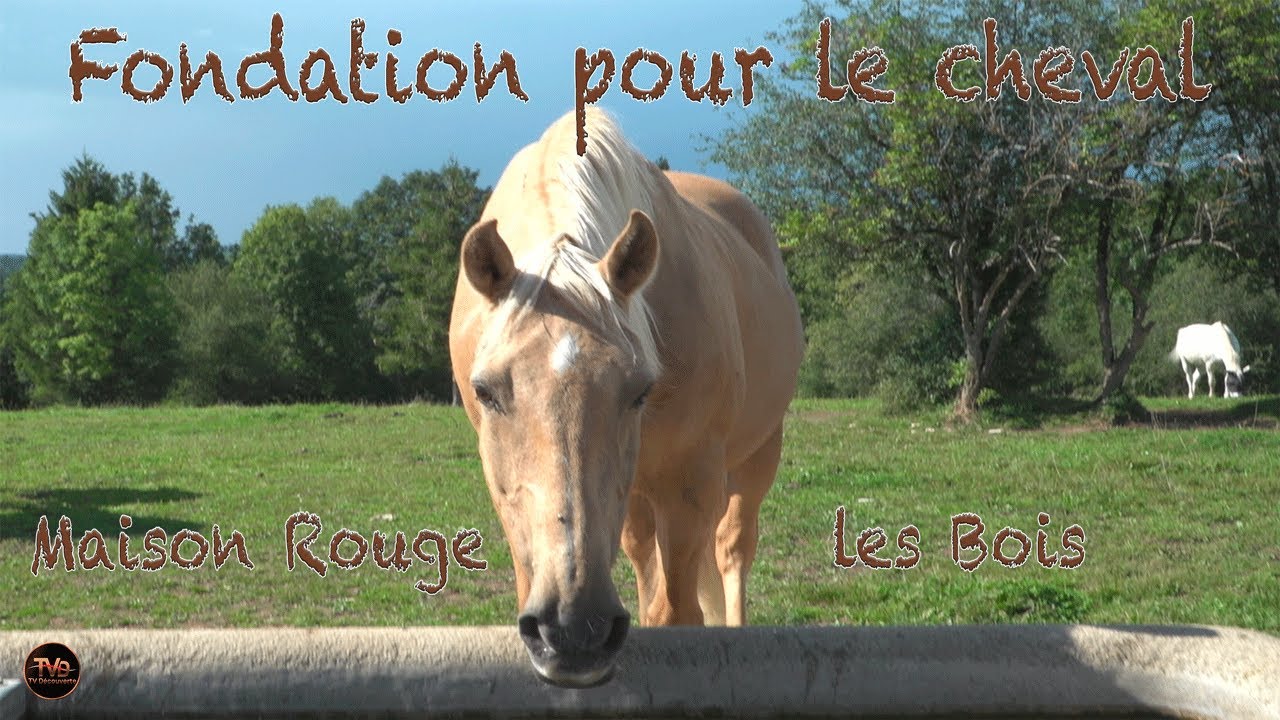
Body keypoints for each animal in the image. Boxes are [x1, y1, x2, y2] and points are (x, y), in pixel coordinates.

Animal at [448, 109, 804, 686]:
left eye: (639, 390)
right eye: (485, 392)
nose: (573, 631)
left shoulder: (688, 484)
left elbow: (677, 612)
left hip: (755, 458)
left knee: (731, 553)